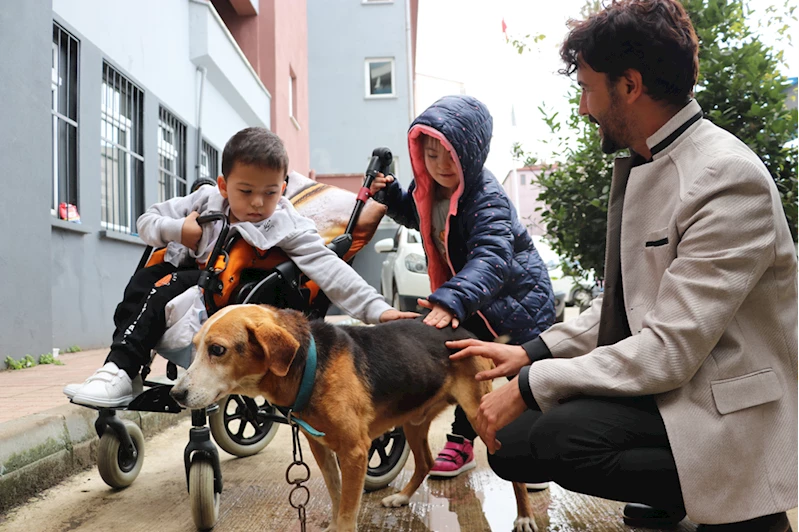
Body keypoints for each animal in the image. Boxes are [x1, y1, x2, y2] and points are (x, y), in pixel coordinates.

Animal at [171, 306, 536, 532]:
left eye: (217, 350)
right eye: (195, 347)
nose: (176, 394)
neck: (310, 364)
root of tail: (468, 332)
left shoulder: (356, 452)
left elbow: (348, 508)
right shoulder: (321, 448)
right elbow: (337, 497)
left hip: (481, 414)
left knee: (514, 473)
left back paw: (524, 517)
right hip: (412, 422)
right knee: (425, 462)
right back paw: (403, 497)